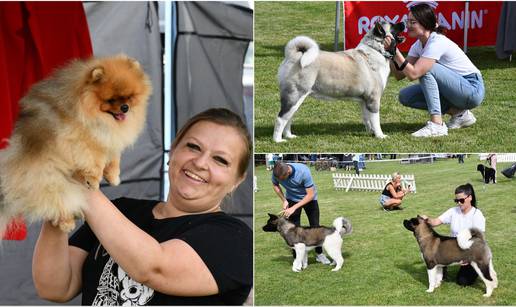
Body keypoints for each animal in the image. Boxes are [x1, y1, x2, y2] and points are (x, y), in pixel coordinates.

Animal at [0, 54, 152, 233]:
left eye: (129, 97)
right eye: (111, 100)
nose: (125, 107)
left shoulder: (108, 139)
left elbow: (114, 157)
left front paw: (113, 176)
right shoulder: (85, 140)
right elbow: (95, 161)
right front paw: (93, 179)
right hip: (51, 182)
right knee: (58, 203)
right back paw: (67, 222)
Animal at [274, 20, 408, 143]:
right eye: (393, 25)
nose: (404, 22)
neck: (376, 50)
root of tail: (293, 56)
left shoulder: (364, 101)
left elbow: (367, 119)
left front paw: (371, 132)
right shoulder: (373, 99)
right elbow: (375, 120)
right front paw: (380, 135)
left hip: (296, 99)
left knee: (288, 118)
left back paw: (289, 136)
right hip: (295, 95)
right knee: (281, 118)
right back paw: (278, 140)